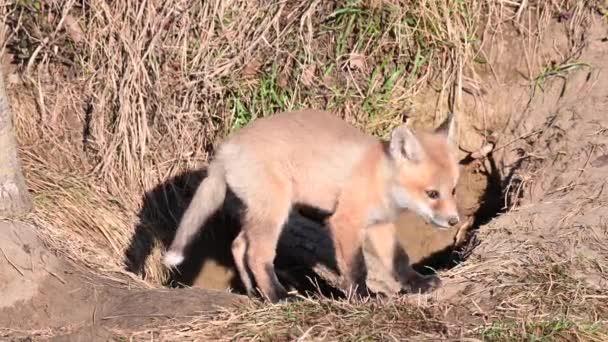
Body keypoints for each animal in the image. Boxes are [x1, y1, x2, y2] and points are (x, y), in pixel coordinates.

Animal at [164, 109, 458, 302]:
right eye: (432, 194)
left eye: (453, 190)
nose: (454, 221)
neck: (379, 177)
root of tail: (223, 152)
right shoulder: (345, 222)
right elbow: (356, 267)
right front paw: (362, 297)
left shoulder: (380, 225)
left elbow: (398, 259)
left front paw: (418, 283)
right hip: (274, 212)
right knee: (257, 255)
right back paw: (278, 296)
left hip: (257, 212)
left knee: (238, 246)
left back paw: (255, 293)